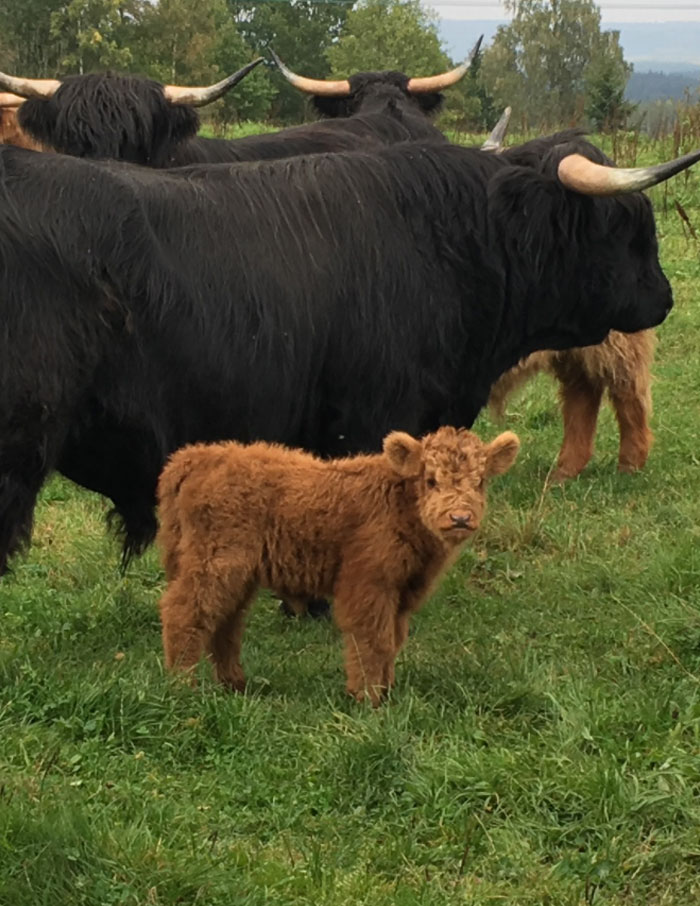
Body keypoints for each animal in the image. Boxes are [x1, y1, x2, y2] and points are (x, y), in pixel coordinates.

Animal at [156, 426, 520, 704]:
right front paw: (368, 698)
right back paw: (182, 686)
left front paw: (388, 691)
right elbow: (372, 641)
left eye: (480, 482)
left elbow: (393, 640)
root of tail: (199, 457)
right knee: (185, 613)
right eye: (430, 480)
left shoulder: (402, 593)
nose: (460, 517)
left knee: (226, 624)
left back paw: (235, 685)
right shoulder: (367, 584)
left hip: (238, 574)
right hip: (216, 565)